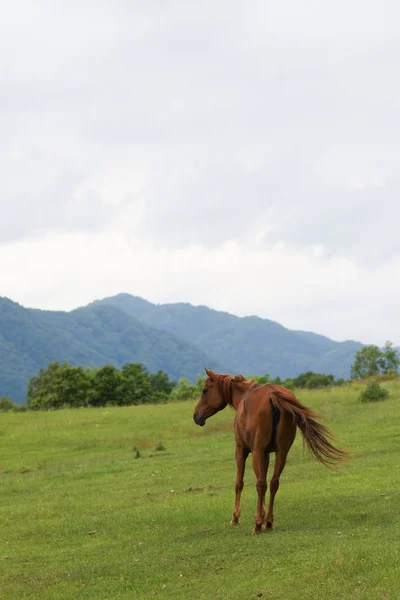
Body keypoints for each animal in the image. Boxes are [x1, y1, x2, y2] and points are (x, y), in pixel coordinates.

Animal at [193, 370, 346, 536]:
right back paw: (268, 521)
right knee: (273, 483)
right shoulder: (266, 454)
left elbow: (239, 483)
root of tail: (273, 395)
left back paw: (257, 524)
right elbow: (265, 481)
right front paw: (263, 512)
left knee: (260, 484)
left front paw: (236, 517)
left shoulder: (242, 450)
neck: (244, 396)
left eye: (205, 390)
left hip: (257, 452)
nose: (195, 416)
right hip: (281, 452)